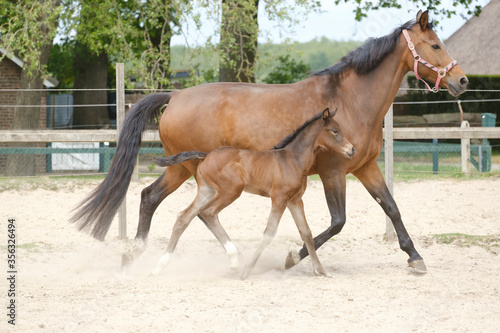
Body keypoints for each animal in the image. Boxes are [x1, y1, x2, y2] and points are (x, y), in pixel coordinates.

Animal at [150, 108, 354, 278]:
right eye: (334, 131)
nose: (351, 149)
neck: (292, 160)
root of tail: (206, 155)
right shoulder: (279, 198)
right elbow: (269, 232)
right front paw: (247, 269)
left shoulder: (295, 200)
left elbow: (306, 233)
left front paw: (321, 271)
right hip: (231, 190)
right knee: (207, 212)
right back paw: (234, 261)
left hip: (207, 191)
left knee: (184, 217)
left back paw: (160, 266)